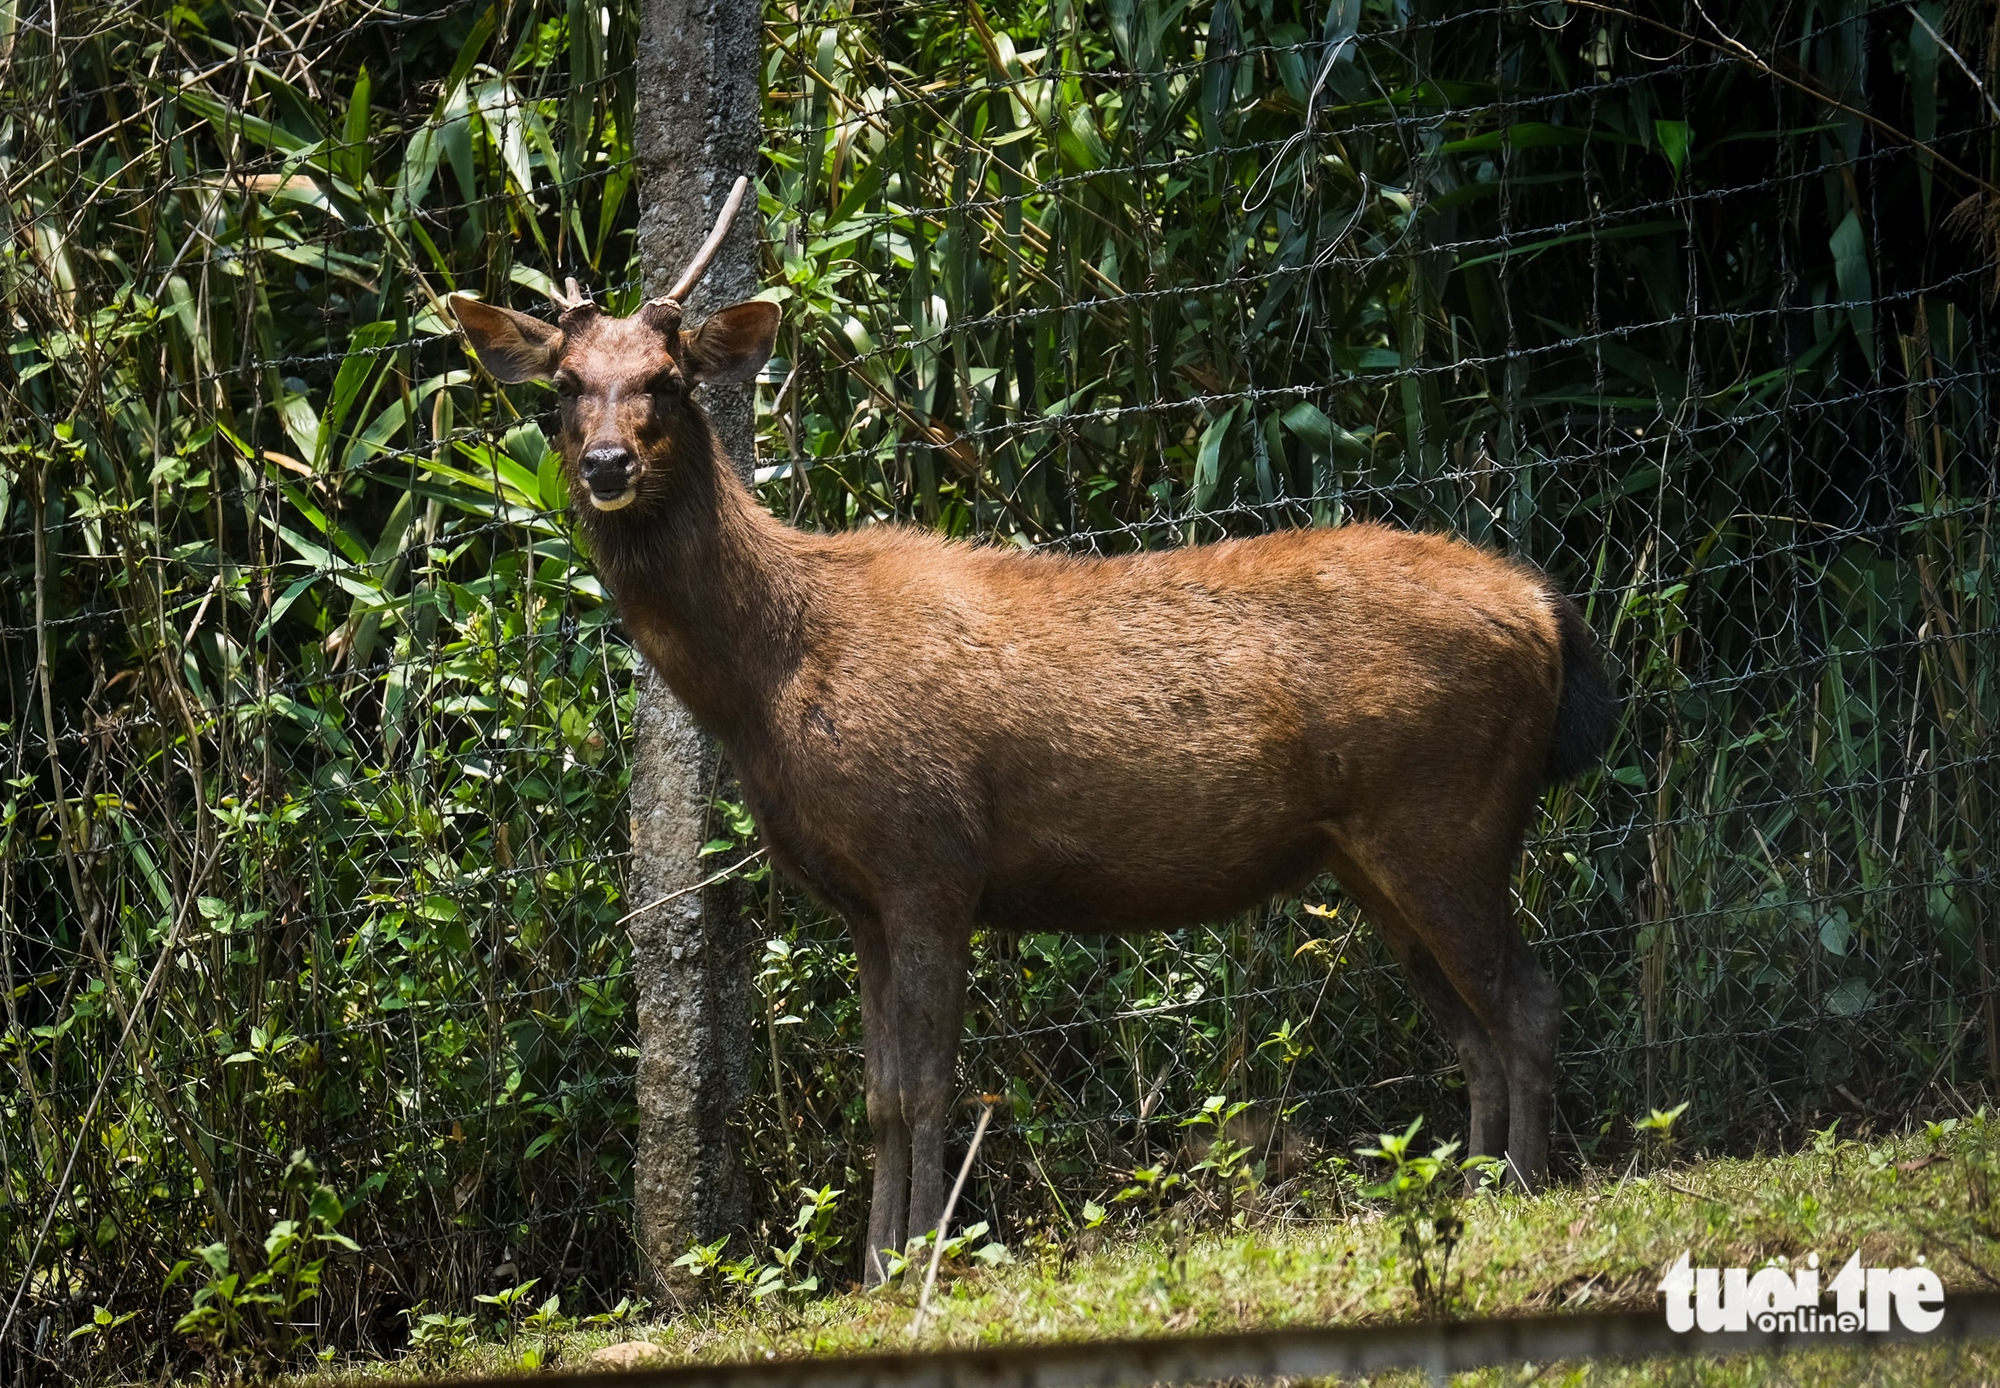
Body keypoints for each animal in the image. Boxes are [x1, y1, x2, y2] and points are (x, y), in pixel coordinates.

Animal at [451, 179, 1616, 1285]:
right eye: (563, 384)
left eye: (667, 378)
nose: (606, 462)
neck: (771, 684)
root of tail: (1544, 607)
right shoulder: (862, 899)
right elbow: (878, 1096)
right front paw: (872, 1269)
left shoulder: (930, 854)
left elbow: (928, 1087)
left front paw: (920, 1261)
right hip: (1372, 855)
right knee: (1472, 1029)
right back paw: (1470, 1186)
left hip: (1446, 815)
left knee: (1529, 1000)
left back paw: (1521, 1184)